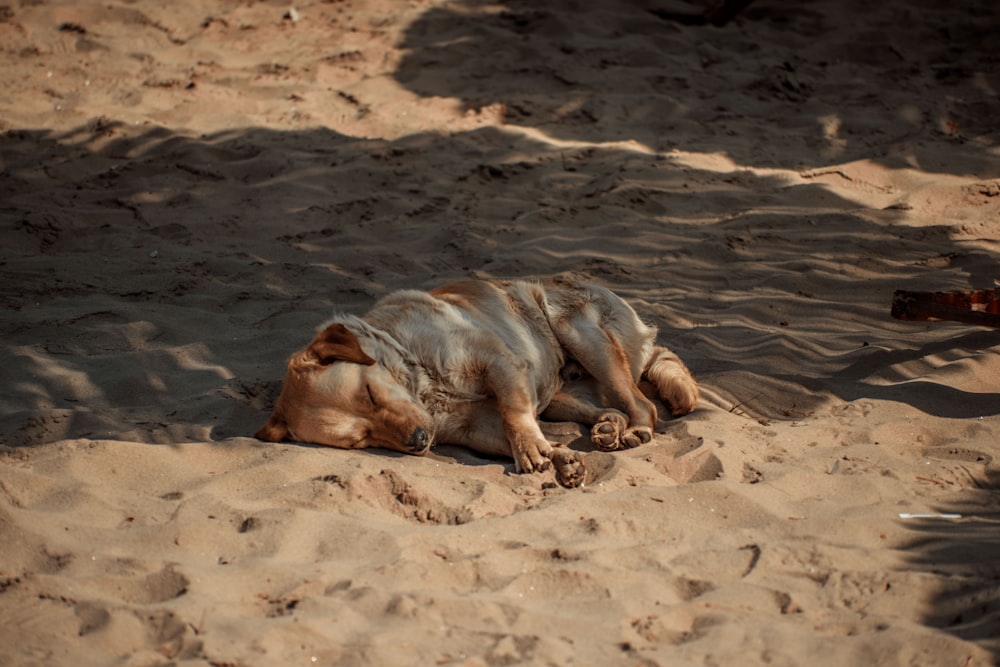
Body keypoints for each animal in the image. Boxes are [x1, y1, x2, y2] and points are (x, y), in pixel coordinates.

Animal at [254, 280, 700, 488]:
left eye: (370, 393)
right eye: (360, 440)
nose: (419, 441)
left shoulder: (499, 362)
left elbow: (514, 414)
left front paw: (531, 451)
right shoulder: (473, 426)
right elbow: (513, 432)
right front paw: (558, 457)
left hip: (581, 334)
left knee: (643, 404)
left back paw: (636, 429)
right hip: (561, 392)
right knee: (602, 407)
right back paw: (608, 428)